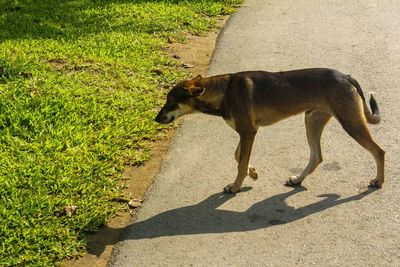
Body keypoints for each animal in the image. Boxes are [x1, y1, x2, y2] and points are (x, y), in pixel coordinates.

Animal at [155, 68, 384, 195]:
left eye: (170, 101)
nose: (156, 119)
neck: (224, 91)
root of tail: (346, 76)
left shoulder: (248, 132)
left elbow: (240, 162)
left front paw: (236, 186)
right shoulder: (247, 131)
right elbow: (238, 156)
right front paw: (253, 172)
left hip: (350, 122)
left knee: (379, 151)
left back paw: (379, 181)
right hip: (312, 120)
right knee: (317, 157)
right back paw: (298, 179)